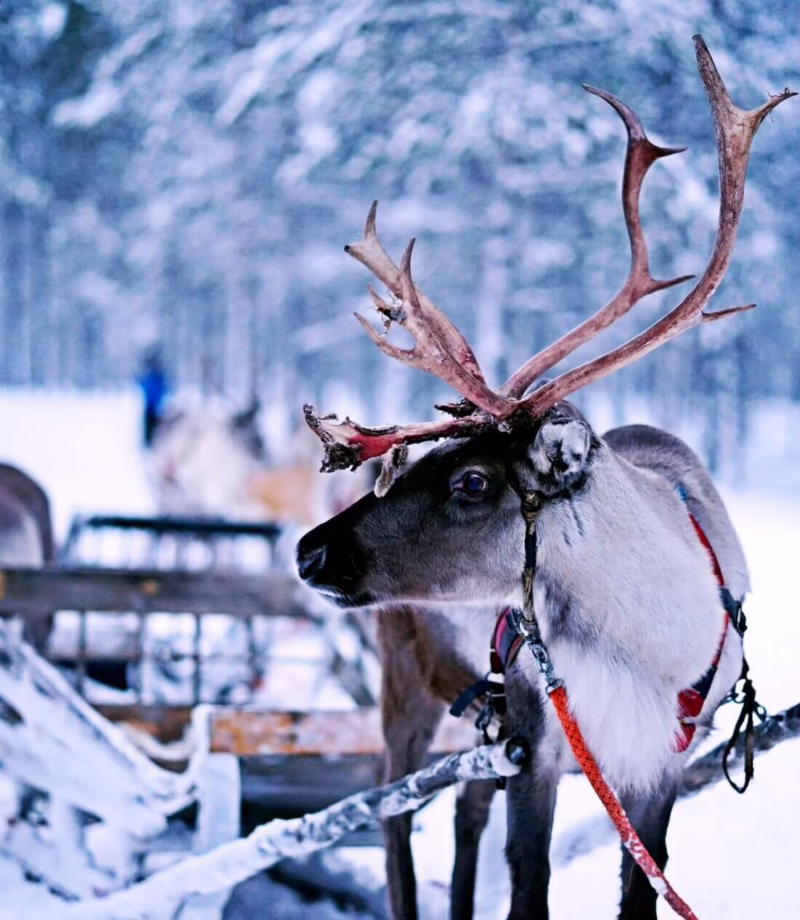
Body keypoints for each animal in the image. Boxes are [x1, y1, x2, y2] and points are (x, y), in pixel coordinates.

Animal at [295, 38, 793, 920]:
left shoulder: (658, 759)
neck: (644, 646)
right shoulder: (539, 739)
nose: (309, 551)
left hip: (473, 720)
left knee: (461, 808)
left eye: (470, 482)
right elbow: (529, 882)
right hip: (406, 688)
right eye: (422, 463)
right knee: (393, 808)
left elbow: (643, 884)